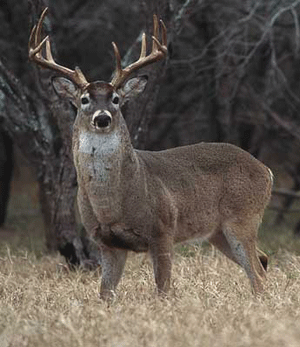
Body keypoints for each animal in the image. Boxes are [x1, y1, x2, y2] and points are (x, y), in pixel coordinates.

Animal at [29, 8, 274, 302]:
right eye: (84, 99)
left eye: (116, 99)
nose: (102, 118)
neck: (112, 205)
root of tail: (266, 170)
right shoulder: (106, 242)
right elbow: (105, 293)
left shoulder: (163, 229)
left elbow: (163, 289)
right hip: (218, 232)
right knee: (262, 260)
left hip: (243, 217)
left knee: (259, 274)